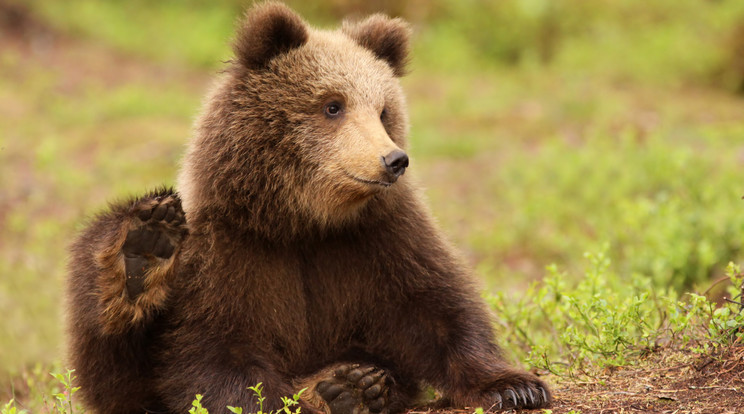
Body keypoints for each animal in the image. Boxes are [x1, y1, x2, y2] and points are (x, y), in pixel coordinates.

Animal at [65, 1, 552, 412]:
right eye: (333, 105)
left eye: (383, 110)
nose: (393, 160)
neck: (303, 223)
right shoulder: (225, 254)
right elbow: (218, 357)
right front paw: (302, 397)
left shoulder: (380, 239)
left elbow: (440, 310)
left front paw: (515, 386)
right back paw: (143, 249)